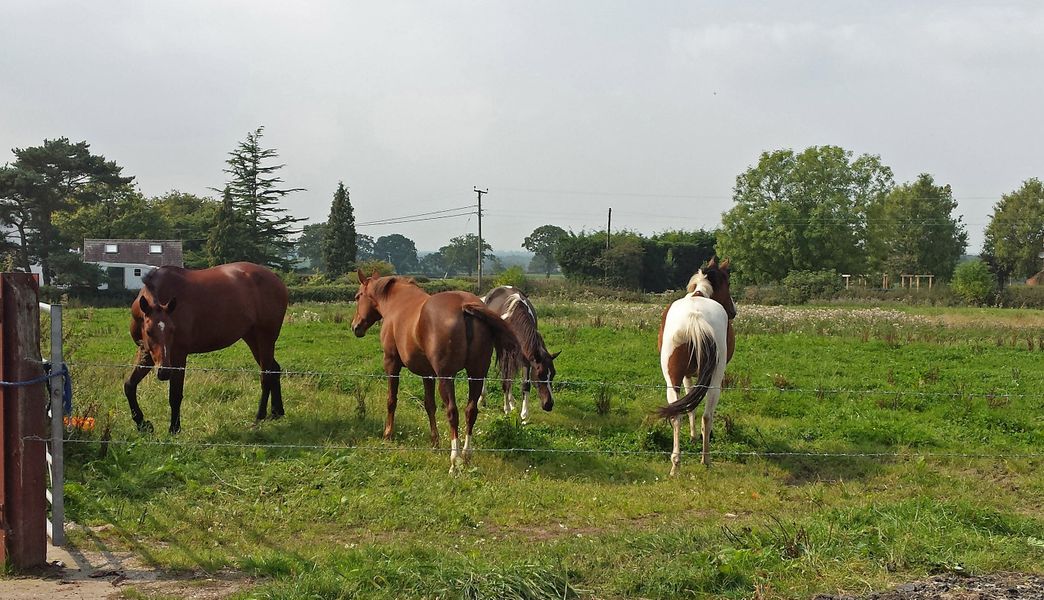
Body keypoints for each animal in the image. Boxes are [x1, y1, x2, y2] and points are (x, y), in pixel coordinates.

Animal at [123, 261, 290, 432]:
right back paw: (277, 412)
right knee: (274, 369)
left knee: (266, 375)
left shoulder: (177, 355)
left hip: (265, 338)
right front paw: (142, 423)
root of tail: (277, 280)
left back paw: (259, 416)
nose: (164, 372)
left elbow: (175, 394)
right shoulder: (147, 352)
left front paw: (174, 429)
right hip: (252, 338)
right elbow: (129, 385)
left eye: (172, 330)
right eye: (149, 332)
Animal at [352, 271, 522, 473]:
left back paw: (455, 460)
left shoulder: (391, 364)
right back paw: (466, 455)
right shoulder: (428, 374)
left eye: (358, 296)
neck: (397, 302)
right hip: (476, 374)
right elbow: (429, 405)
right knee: (470, 411)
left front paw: (387, 434)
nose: (355, 327)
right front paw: (435, 442)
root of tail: (464, 306)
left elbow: (391, 401)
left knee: (453, 412)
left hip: (446, 377)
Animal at [478, 285, 559, 421]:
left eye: (552, 374)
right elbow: (505, 380)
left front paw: (524, 414)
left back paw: (511, 402)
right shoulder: (505, 353)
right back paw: (483, 399)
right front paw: (506, 409)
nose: (549, 404)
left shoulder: (527, 358)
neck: (514, 319)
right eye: (540, 375)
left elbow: (525, 384)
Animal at [655, 258, 739, 473]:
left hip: (672, 379)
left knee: (676, 414)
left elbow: (689, 404)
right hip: (716, 380)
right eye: (728, 283)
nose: (733, 312)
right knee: (707, 416)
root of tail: (695, 319)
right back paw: (706, 459)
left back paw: (676, 464)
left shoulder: (686, 375)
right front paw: (694, 436)